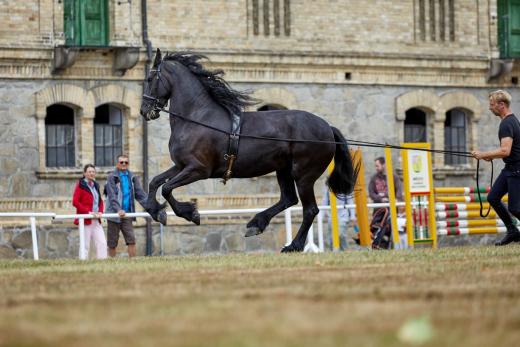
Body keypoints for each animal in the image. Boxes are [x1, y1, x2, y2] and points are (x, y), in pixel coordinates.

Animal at [138, 49, 358, 253]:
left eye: (149, 78)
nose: (144, 110)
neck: (196, 118)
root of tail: (327, 127)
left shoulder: (198, 170)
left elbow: (166, 188)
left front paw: (190, 213)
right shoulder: (181, 166)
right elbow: (155, 182)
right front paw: (156, 211)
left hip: (303, 176)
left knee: (310, 209)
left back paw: (292, 245)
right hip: (283, 170)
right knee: (289, 199)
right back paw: (257, 224)